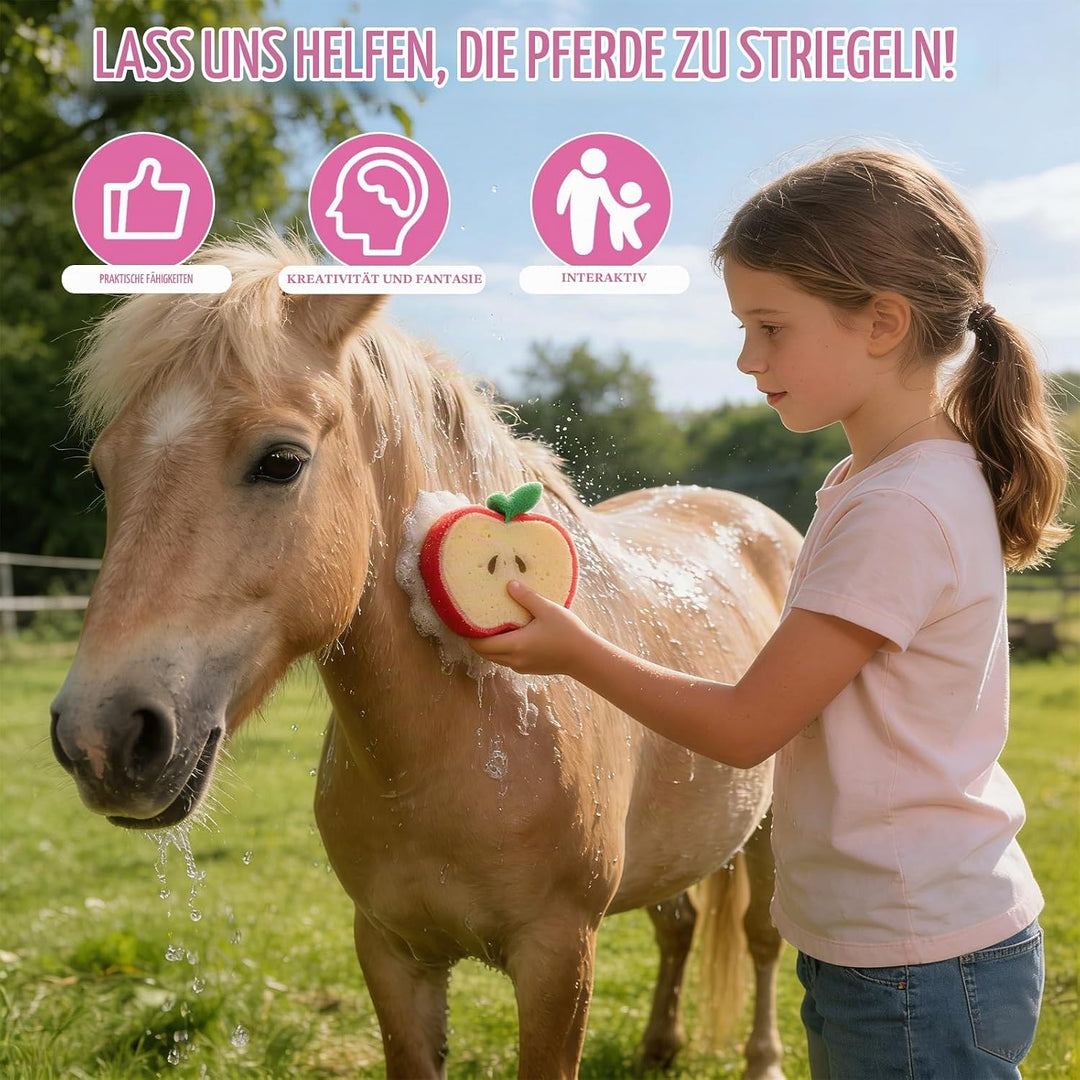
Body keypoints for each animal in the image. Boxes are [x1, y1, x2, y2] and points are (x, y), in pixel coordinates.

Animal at [50, 231, 801, 1079]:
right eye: (104, 468)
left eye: (280, 461)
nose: (101, 736)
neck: (465, 729)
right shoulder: (390, 952)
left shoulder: (558, 957)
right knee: (679, 925)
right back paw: (659, 1046)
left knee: (762, 937)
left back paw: (763, 1059)